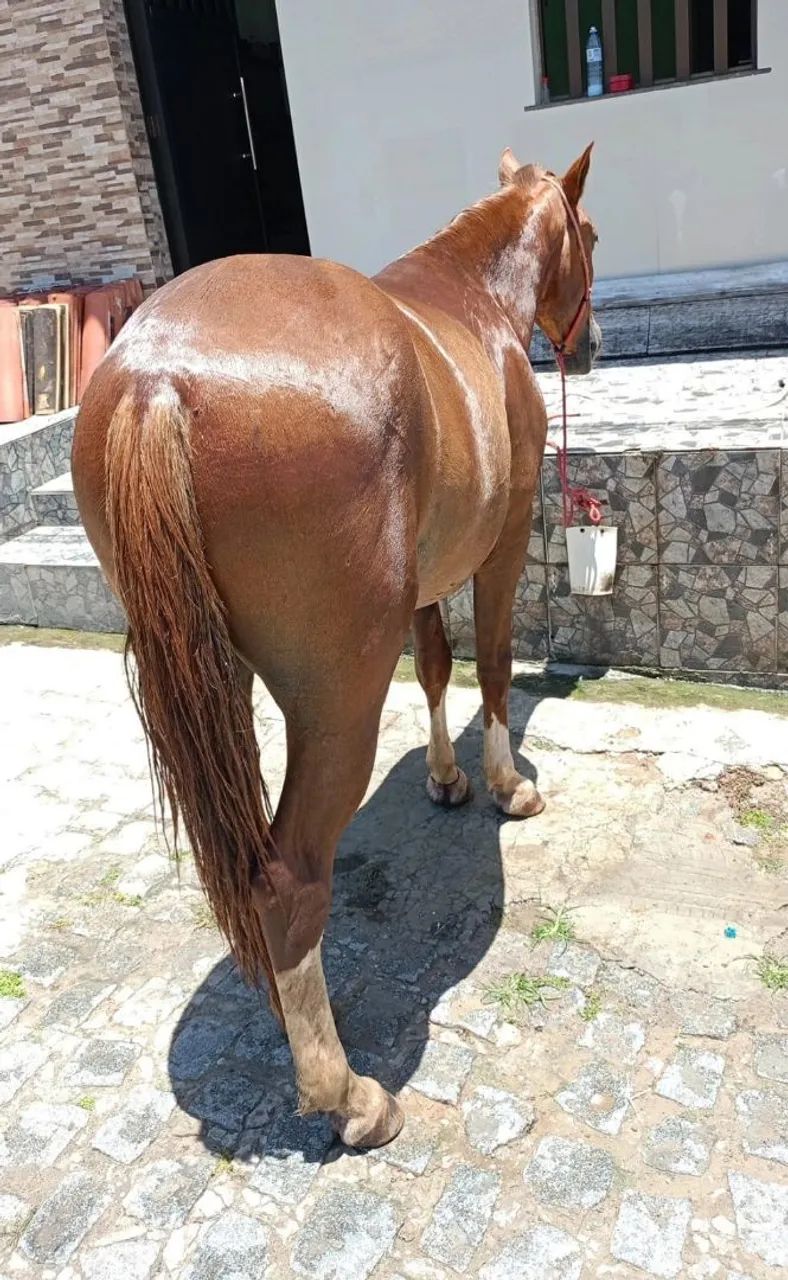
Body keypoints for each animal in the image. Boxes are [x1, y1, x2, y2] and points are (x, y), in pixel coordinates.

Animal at [72, 144, 600, 1150]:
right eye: (590, 232)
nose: (588, 348)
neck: (472, 296)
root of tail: (160, 377)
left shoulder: (426, 581)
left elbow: (433, 667)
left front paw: (445, 778)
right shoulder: (505, 541)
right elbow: (493, 666)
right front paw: (506, 786)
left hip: (211, 678)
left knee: (247, 866)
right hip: (337, 699)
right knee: (287, 878)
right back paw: (346, 1093)